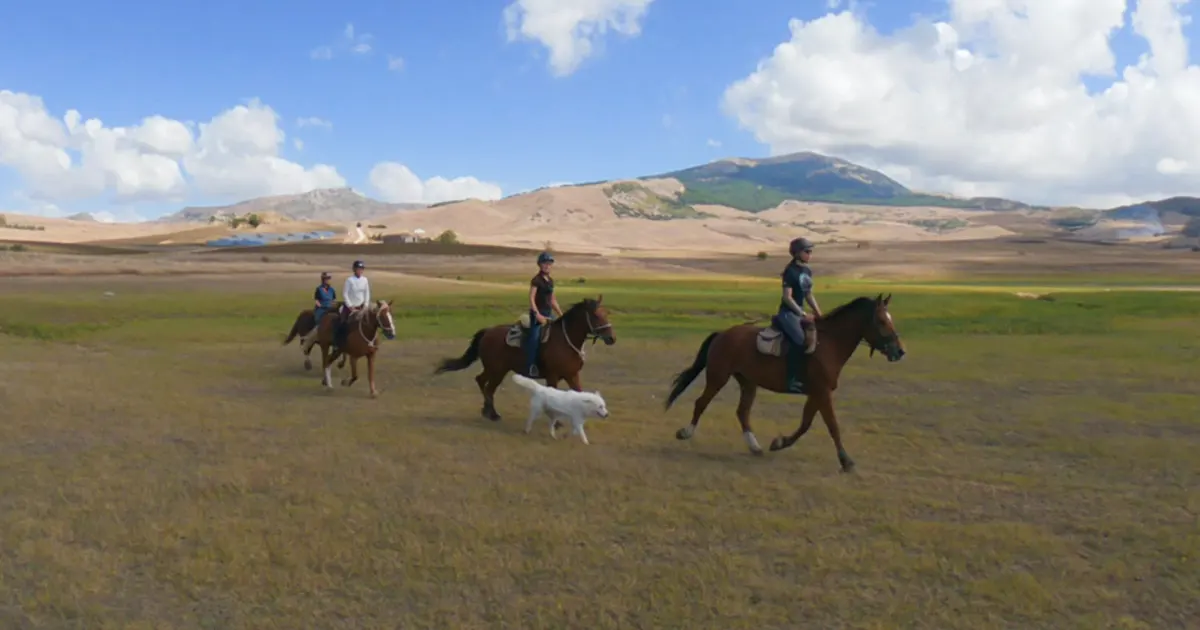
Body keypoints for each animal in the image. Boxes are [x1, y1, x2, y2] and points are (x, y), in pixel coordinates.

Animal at [434, 296, 619, 422]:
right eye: (596, 315)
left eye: (606, 313)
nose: (612, 338)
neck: (565, 341)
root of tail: (487, 331)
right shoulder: (552, 376)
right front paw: (557, 422)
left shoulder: (572, 375)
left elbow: (579, 393)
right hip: (497, 370)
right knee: (487, 387)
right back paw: (492, 413)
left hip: (495, 369)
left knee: (482, 381)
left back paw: (487, 411)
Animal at [662, 292, 902, 468]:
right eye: (882, 321)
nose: (900, 352)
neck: (829, 344)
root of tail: (722, 334)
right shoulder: (823, 392)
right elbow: (832, 425)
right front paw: (846, 461)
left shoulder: (817, 393)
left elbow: (805, 424)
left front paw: (779, 443)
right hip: (718, 377)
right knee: (701, 403)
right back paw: (685, 432)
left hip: (748, 382)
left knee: (742, 412)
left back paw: (755, 447)